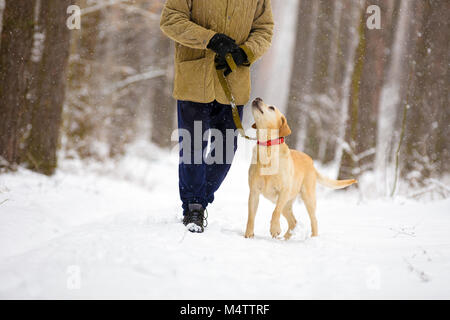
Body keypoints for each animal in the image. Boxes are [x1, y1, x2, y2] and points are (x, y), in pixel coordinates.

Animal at [244, 97, 356, 240]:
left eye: (272, 108)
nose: (258, 98)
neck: (267, 148)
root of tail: (311, 162)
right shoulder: (254, 192)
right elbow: (250, 215)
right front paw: (248, 234)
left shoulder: (284, 191)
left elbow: (275, 212)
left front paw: (274, 229)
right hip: (287, 203)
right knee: (293, 222)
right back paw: (286, 238)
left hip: (307, 198)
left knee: (313, 220)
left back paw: (313, 237)